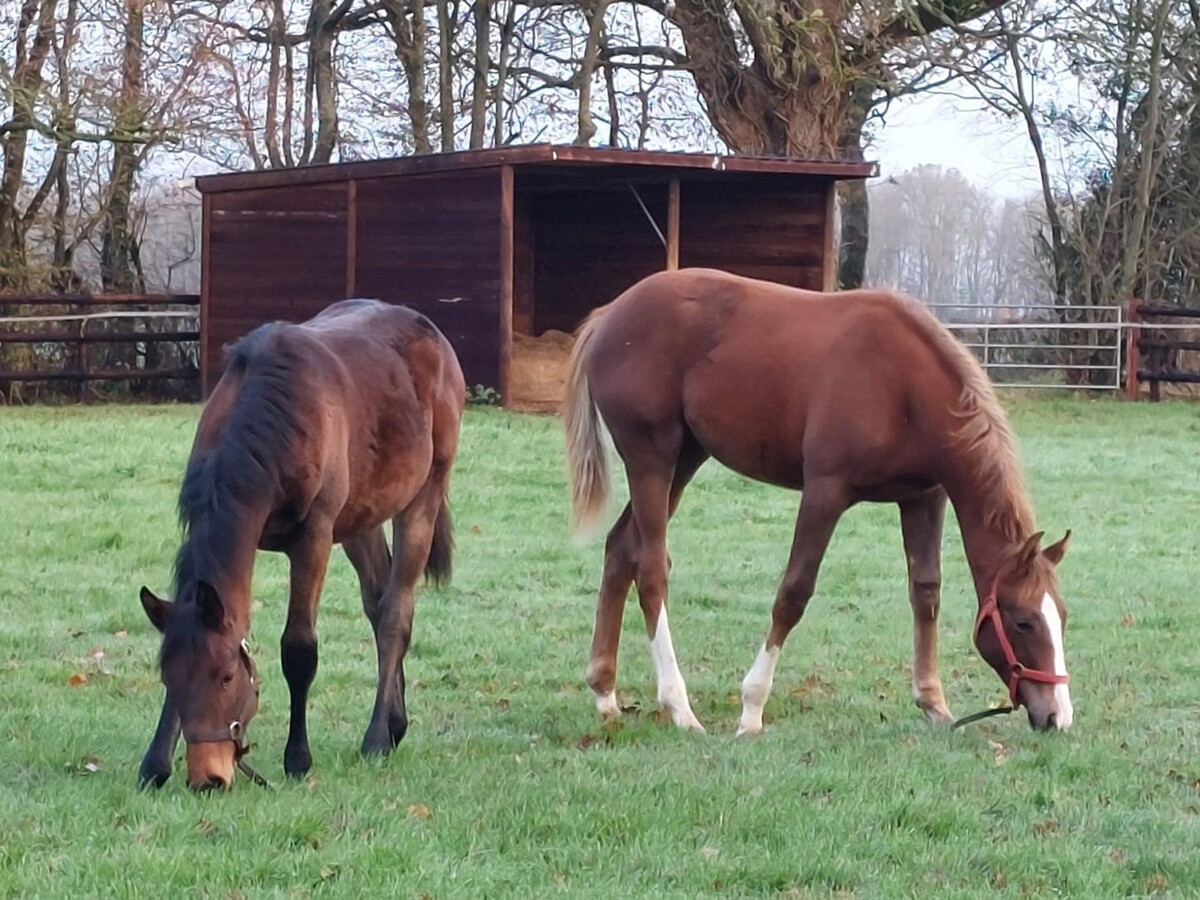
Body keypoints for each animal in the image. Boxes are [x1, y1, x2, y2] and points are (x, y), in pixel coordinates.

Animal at [137, 299, 465, 790]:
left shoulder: (313, 538)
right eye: (168, 677)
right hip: (360, 519)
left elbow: (299, 648)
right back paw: (395, 725)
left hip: (421, 498)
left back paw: (376, 738)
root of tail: (434, 336)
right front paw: (155, 763)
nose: (207, 777)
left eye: (227, 676)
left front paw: (298, 759)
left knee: (395, 614)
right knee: (377, 602)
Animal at [564, 268, 1073, 735]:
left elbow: (926, 592)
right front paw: (751, 710)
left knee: (620, 550)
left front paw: (934, 705)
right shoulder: (825, 492)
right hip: (652, 459)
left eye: (1062, 616)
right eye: (1024, 622)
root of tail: (610, 314)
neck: (903, 385)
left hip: (685, 458)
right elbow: (794, 592)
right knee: (651, 567)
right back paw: (679, 708)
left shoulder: (923, 498)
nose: (1057, 717)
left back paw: (605, 694)